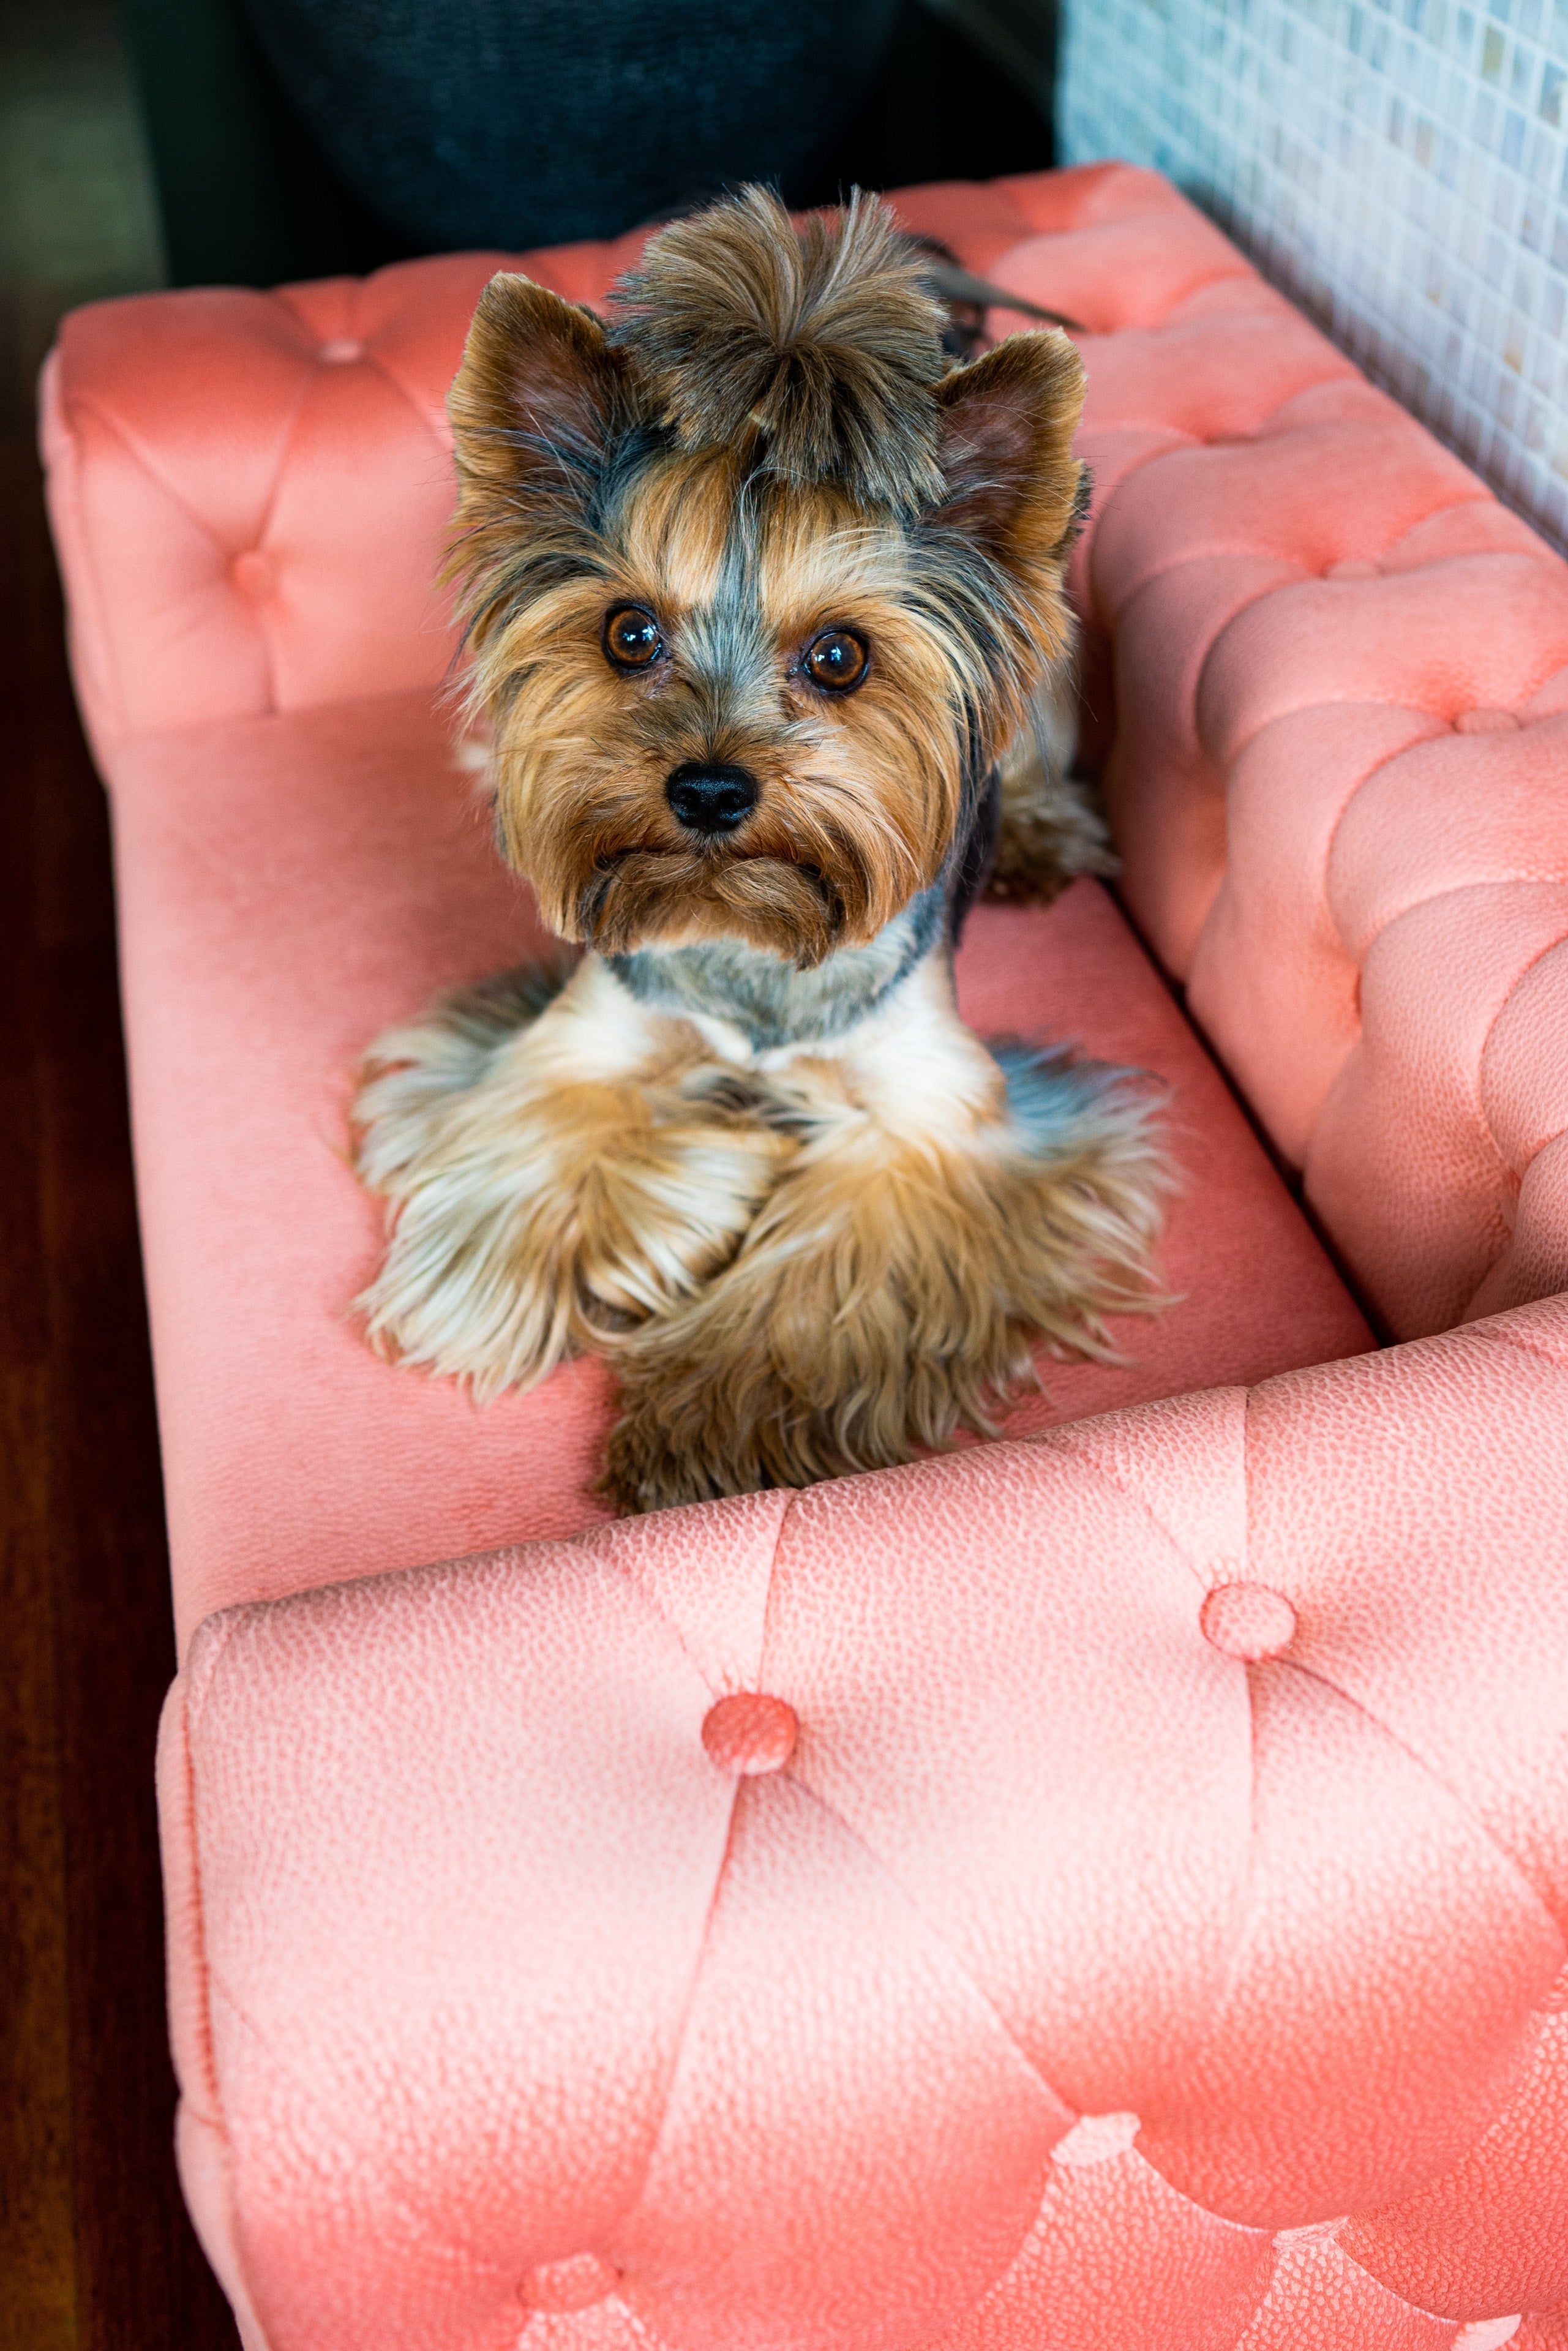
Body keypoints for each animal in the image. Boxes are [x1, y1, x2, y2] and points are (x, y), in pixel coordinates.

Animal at [352, 183, 1166, 1504]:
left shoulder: (939, 1121)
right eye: (627, 633)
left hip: (1050, 652)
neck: (746, 923)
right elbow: (531, 1158)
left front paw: (694, 1430)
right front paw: (515, 1273)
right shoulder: (581, 1036)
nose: (708, 789)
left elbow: (833, 1283)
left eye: (839, 656)